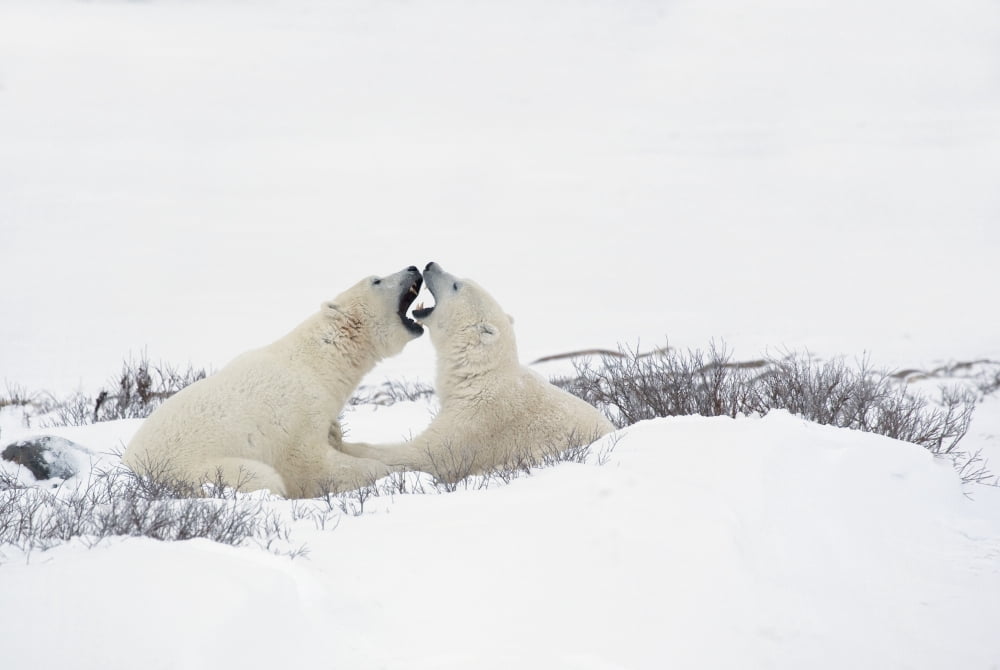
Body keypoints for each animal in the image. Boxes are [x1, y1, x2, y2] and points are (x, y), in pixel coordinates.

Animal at [122, 266, 425, 498]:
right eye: (376, 280)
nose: (413, 267)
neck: (316, 362)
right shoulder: (300, 418)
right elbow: (314, 465)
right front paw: (396, 473)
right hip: (201, 469)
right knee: (261, 477)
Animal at [336, 262, 615, 481]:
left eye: (456, 285)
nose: (430, 264)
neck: (479, 373)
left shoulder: (480, 419)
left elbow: (428, 454)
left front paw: (347, 446)